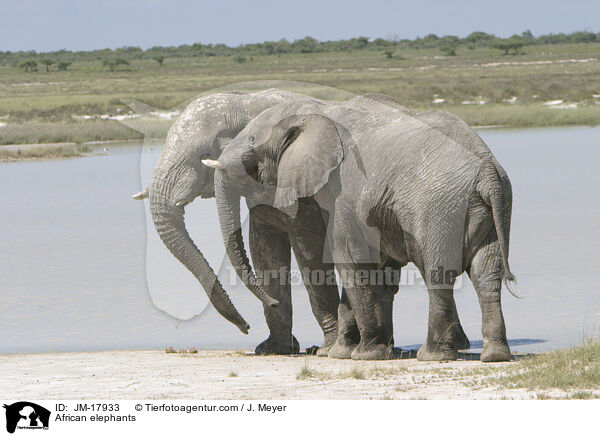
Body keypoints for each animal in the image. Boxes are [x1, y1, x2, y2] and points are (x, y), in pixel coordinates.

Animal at [132, 88, 342, 354]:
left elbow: (307, 247)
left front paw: (326, 348)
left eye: (204, 155)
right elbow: (264, 250)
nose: (246, 327)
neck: (245, 102)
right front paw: (273, 348)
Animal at [209, 97, 512, 362]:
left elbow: (347, 259)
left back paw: (432, 356)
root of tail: (488, 173)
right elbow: (376, 268)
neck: (313, 113)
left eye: (251, 141)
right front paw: (350, 351)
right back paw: (494, 355)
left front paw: (361, 355)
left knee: (439, 274)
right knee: (486, 273)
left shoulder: (340, 191)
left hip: (439, 208)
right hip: (487, 210)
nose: (248, 326)